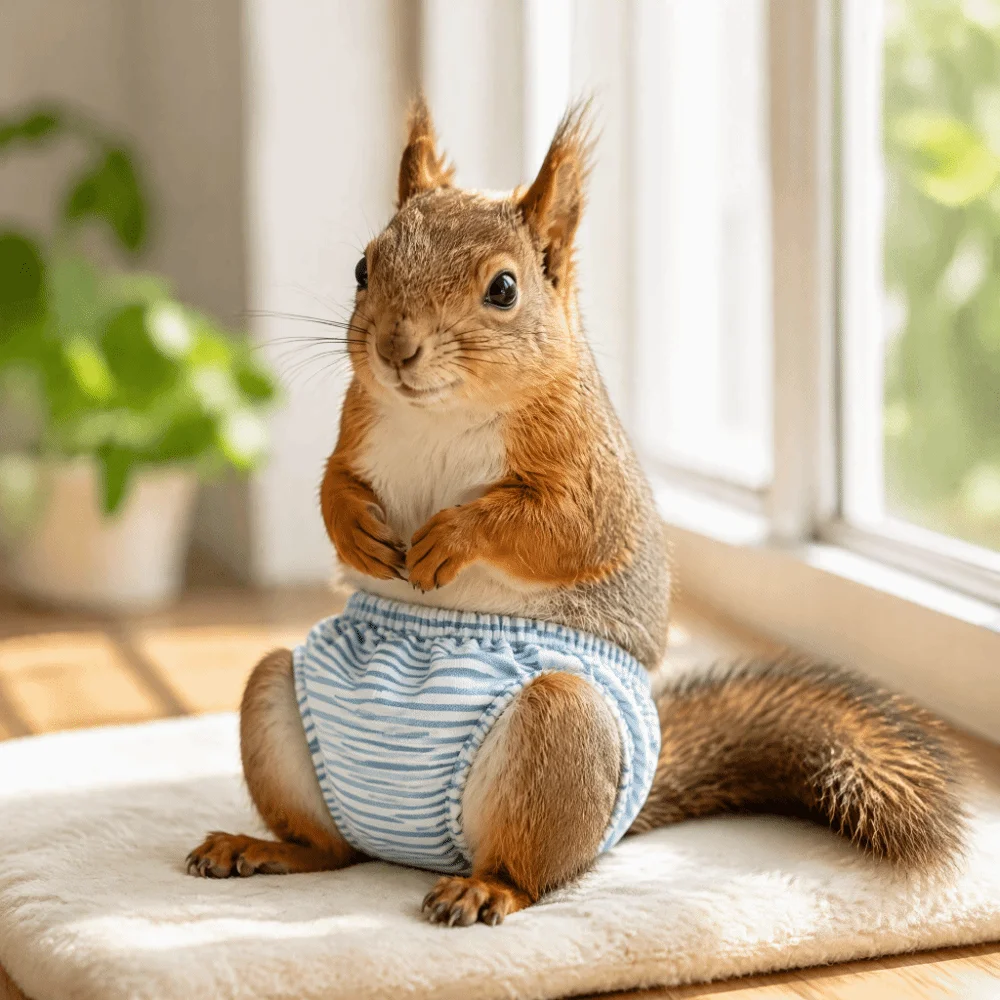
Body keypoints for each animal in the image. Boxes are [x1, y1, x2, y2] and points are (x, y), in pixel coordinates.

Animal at [186, 100, 966, 928]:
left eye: (504, 288)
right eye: (363, 267)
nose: (396, 349)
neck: (441, 414)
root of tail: (414, 851)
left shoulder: (588, 479)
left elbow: (554, 530)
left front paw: (449, 538)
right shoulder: (355, 428)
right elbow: (333, 485)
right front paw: (358, 531)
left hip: (559, 737)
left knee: (530, 869)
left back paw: (484, 888)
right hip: (276, 700)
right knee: (333, 846)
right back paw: (262, 848)